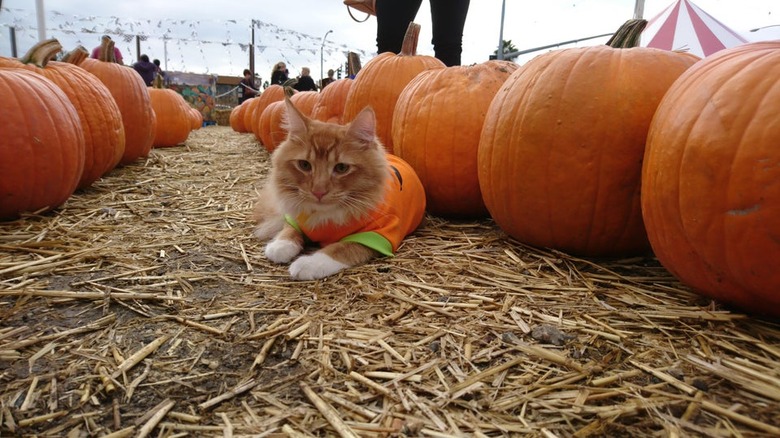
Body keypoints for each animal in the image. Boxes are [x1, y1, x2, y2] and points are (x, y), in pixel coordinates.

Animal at [254, 97, 426, 278]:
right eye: (304, 165)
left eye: (342, 168)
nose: (318, 191)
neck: (325, 215)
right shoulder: (296, 219)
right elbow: (289, 230)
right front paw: (280, 245)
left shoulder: (376, 235)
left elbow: (338, 249)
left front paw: (307, 264)